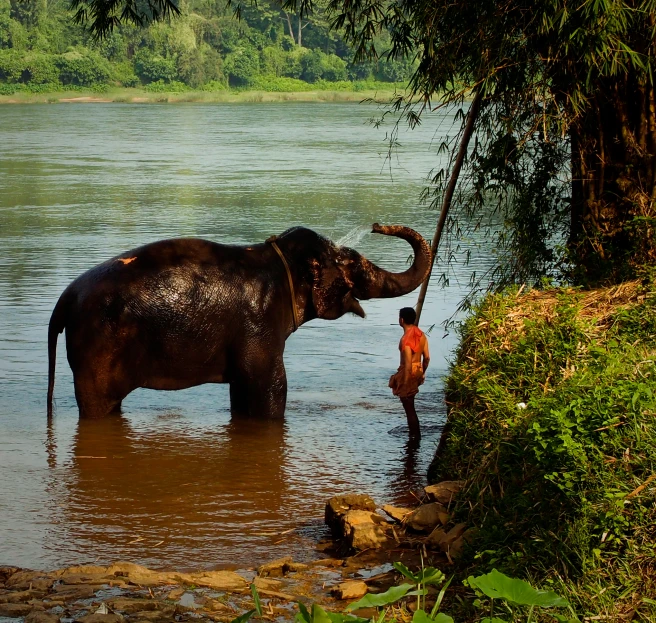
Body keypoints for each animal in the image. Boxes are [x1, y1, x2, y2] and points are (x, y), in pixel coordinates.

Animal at [48, 222, 434, 422]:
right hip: (96, 349)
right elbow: (271, 386)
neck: (278, 257)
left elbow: (242, 389)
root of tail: (65, 298)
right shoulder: (259, 322)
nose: (377, 226)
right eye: (353, 264)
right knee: (99, 407)